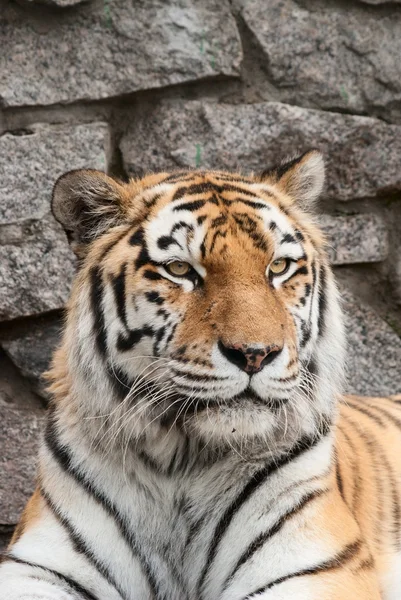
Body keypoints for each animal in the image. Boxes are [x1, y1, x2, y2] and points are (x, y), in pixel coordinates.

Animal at [0, 151, 400, 600]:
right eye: (179, 269)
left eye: (278, 267)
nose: (255, 354)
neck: (181, 464)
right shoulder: (40, 565)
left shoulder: (317, 565)